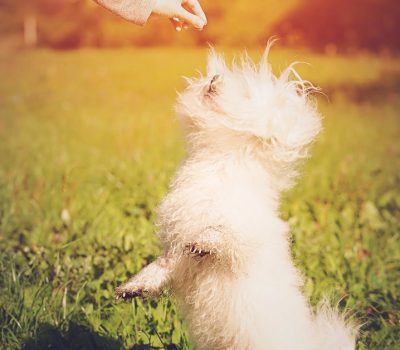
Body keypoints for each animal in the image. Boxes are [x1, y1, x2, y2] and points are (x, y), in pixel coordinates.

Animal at [115, 44, 356, 350]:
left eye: (245, 96)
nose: (214, 79)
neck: (220, 161)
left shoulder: (243, 237)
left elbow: (223, 235)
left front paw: (203, 242)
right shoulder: (175, 250)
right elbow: (161, 266)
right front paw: (132, 288)